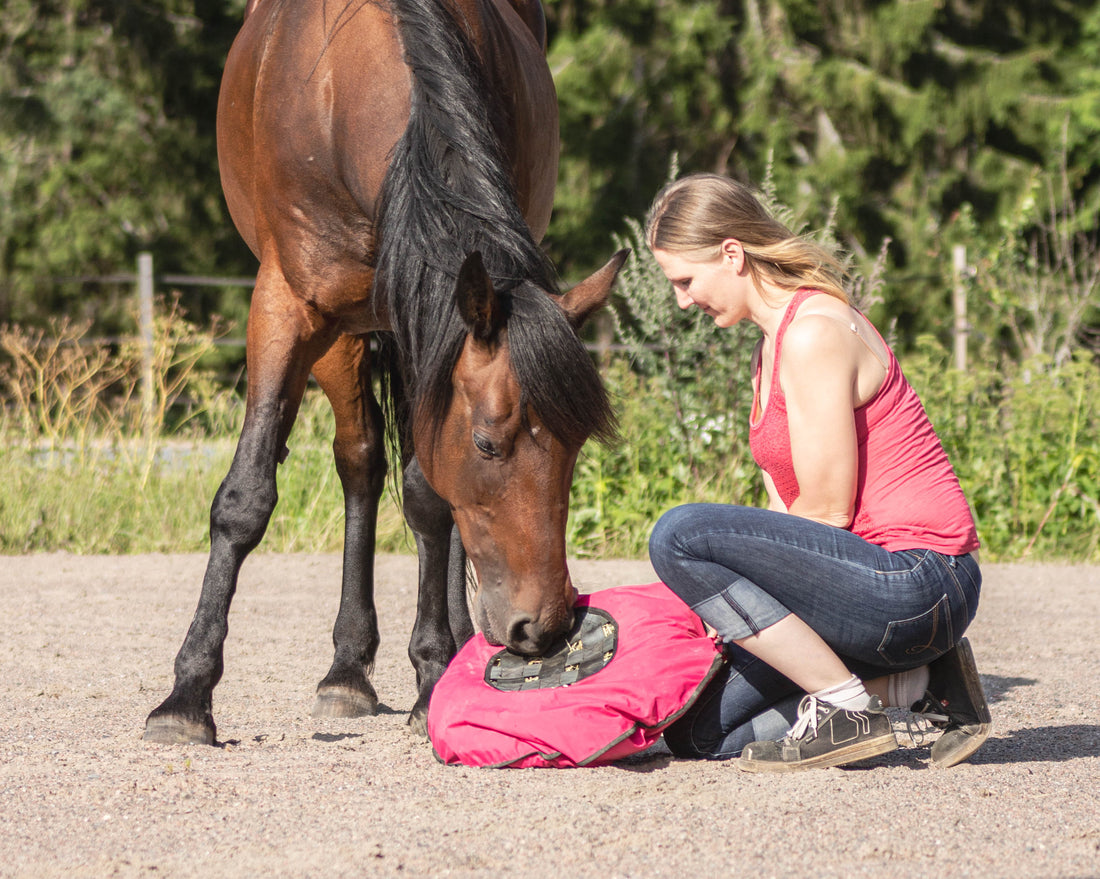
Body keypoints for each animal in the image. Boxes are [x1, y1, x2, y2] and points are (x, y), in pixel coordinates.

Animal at [142, 0, 627, 745]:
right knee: (361, 461)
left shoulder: (423, 320)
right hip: (348, 332)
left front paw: (433, 673)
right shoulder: (285, 304)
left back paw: (445, 648)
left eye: (574, 450)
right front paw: (186, 694)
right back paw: (346, 670)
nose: (544, 627)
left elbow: (429, 499)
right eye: (488, 443)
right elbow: (244, 499)